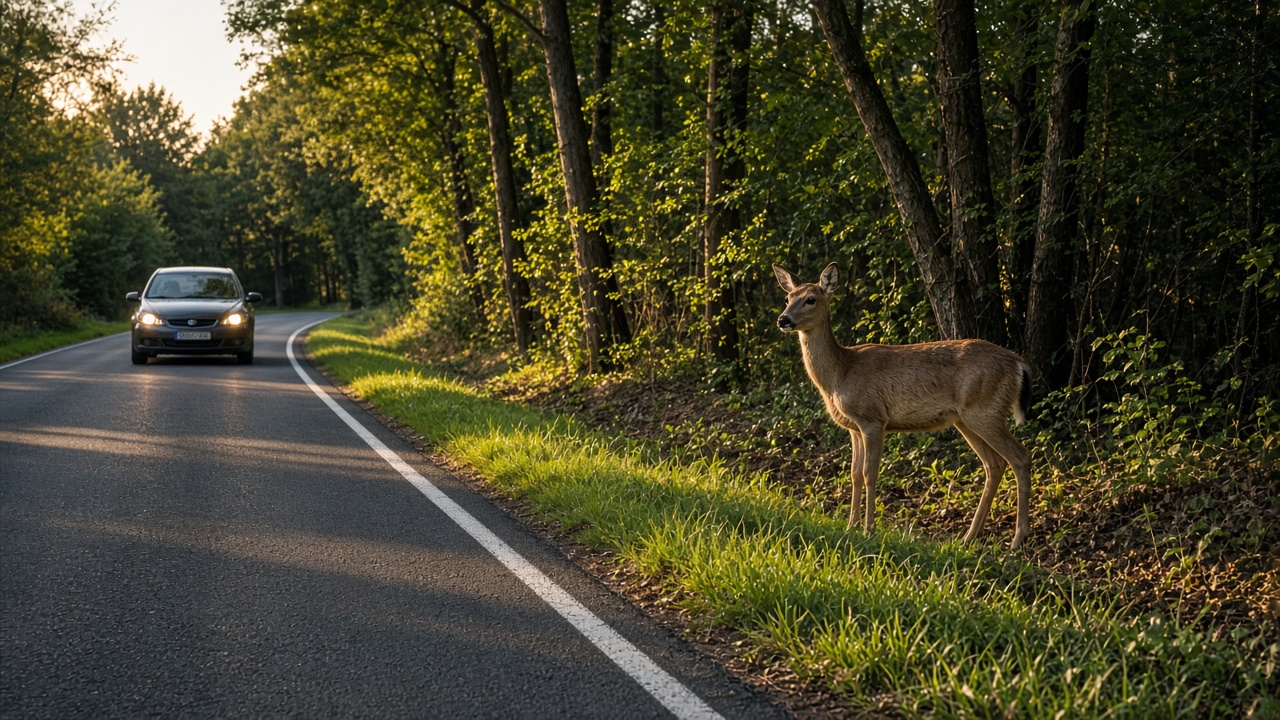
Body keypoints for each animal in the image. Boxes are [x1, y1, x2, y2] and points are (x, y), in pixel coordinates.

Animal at [773, 262, 1034, 549]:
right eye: (787, 298)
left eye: (811, 299)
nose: (783, 319)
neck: (841, 372)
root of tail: (1018, 363)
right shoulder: (853, 428)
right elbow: (854, 474)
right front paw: (851, 526)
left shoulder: (873, 418)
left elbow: (870, 474)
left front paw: (868, 529)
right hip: (966, 419)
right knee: (994, 465)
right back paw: (967, 537)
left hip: (985, 410)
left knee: (1020, 457)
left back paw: (1017, 539)